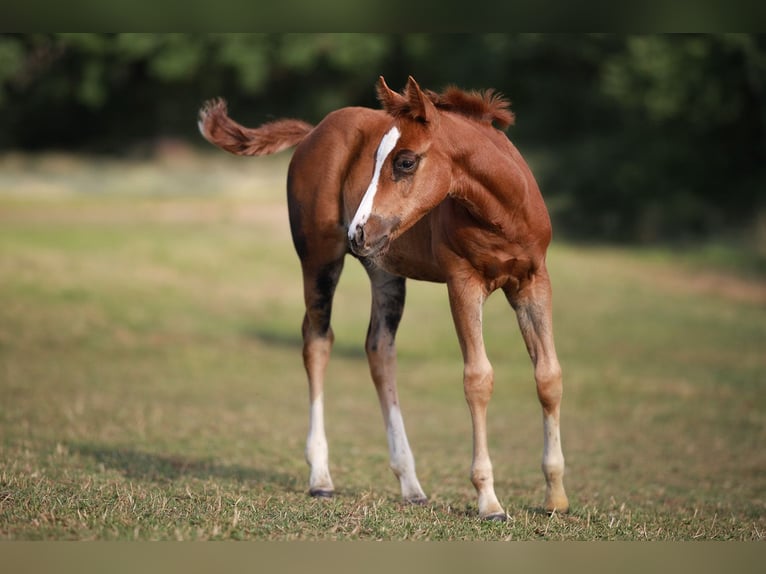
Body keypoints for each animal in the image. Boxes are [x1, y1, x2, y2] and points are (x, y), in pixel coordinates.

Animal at [198, 76, 569, 520]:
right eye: (375, 160)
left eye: (405, 161)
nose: (358, 230)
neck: (502, 214)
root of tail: (313, 131)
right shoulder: (462, 283)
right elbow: (478, 378)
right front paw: (489, 500)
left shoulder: (534, 281)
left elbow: (548, 376)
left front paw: (556, 497)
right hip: (319, 259)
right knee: (317, 342)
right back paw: (321, 477)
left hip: (385, 271)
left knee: (379, 349)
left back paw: (411, 484)